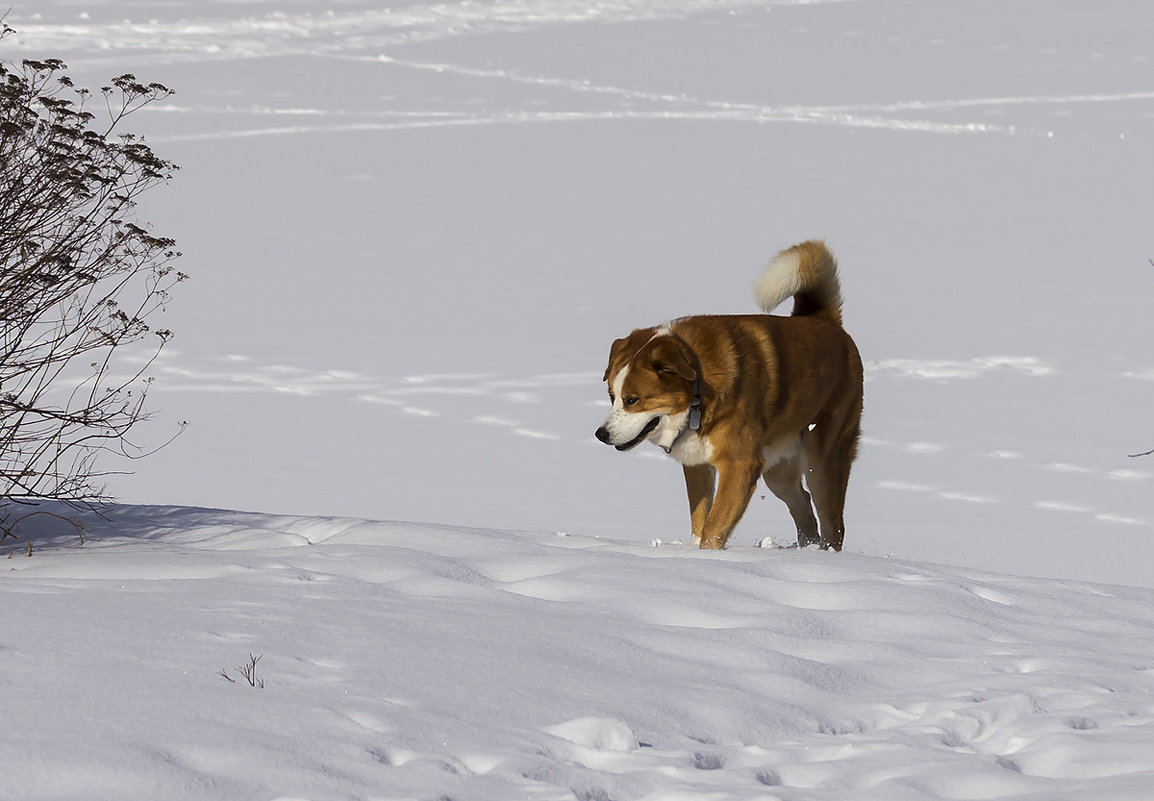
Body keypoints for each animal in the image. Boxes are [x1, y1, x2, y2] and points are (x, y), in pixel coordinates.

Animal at [600, 241, 863, 549]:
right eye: (612, 396)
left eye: (632, 399)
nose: (600, 434)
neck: (697, 394)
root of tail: (825, 321)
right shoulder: (698, 466)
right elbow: (700, 522)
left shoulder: (739, 466)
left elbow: (714, 527)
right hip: (779, 469)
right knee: (804, 508)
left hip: (824, 459)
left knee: (832, 523)